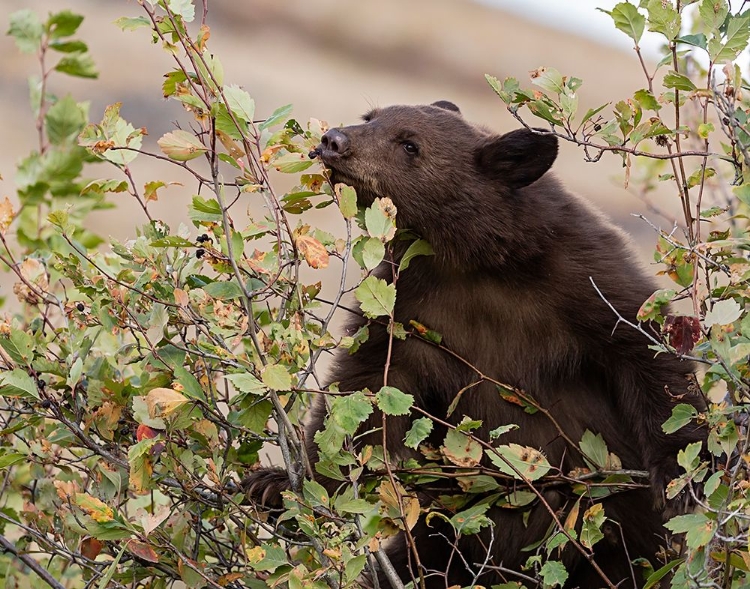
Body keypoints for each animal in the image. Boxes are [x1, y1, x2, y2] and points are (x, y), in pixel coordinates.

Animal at [245, 102, 704, 588]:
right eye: (370, 116)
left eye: (410, 144)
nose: (334, 140)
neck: (471, 261)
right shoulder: (407, 306)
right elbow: (365, 392)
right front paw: (280, 484)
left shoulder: (582, 275)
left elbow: (644, 348)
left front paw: (681, 476)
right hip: (439, 541)